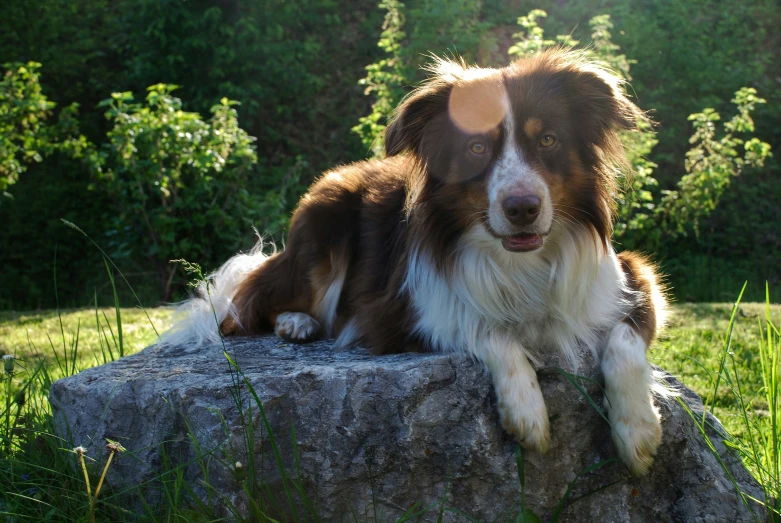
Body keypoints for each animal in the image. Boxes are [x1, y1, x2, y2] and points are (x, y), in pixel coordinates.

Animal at [165, 50, 664, 478]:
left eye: (547, 139)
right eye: (477, 148)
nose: (522, 208)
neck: (518, 261)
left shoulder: (631, 275)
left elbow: (624, 339)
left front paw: (637, 430)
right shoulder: (397, 311)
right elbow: (488, 329)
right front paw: (527, 410)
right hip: (324, 229)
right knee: (247, 305)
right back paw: (296, 322)